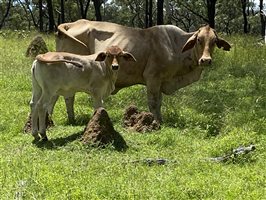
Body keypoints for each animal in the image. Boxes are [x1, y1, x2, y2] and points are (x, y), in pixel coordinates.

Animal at [56, 19, 231, 122]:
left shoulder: (161, 81)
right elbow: (153, 103)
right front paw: (155, 122)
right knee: (69, 97)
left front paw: (160, 120)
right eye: (199, 40)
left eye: (214, 41)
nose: (206, 60)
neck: (175, 46)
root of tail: (73, 23)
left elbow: (159, 102)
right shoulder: (152, 78)